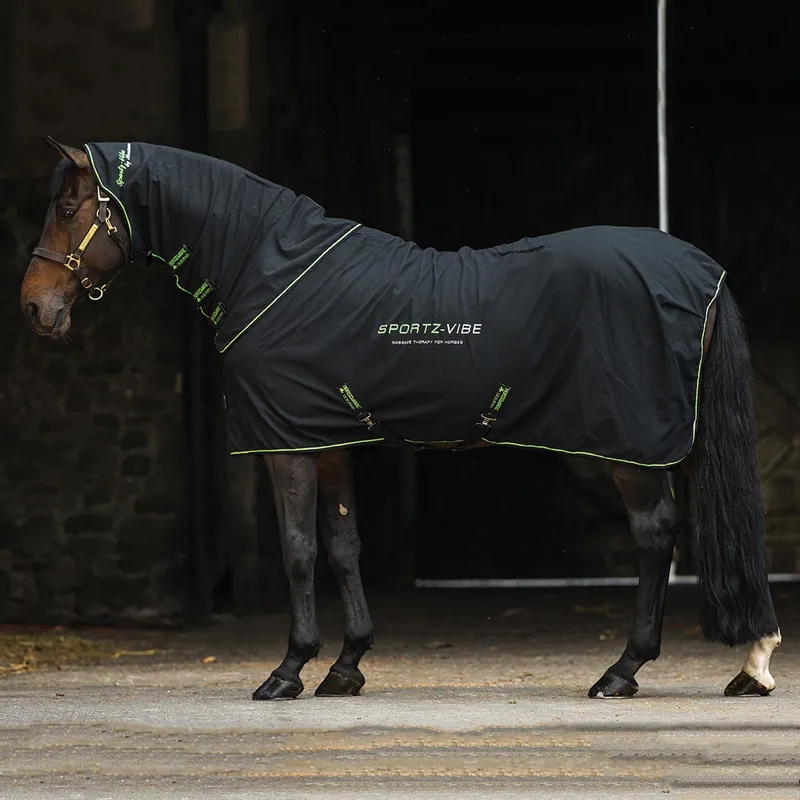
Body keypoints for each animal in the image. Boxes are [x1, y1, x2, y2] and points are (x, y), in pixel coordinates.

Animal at [20, 137, 781, 701]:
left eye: (68, 206)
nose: (34, 307)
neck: (269, 270)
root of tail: (698, 268)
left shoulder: (286, 445)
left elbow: (299, 550)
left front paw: (287, 672)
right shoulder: (329, 441)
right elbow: (343, 546)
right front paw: (345, 666)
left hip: (628, 444)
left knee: (656, 534)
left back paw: (622, 672)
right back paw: (750, 664)